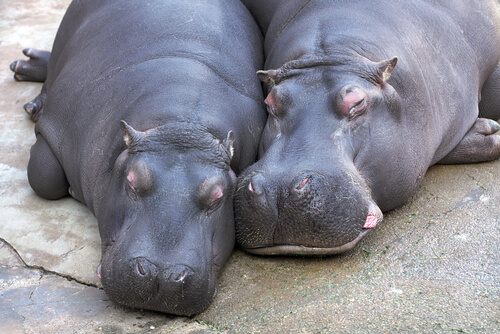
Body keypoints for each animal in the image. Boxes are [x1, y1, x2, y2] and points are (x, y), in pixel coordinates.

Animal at [9, 0, 266, 316]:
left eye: (218, 196)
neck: (182, 127)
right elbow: (44, 177)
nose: (161, 275)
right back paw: (28, 81)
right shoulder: (58, 128)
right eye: (132, 180)